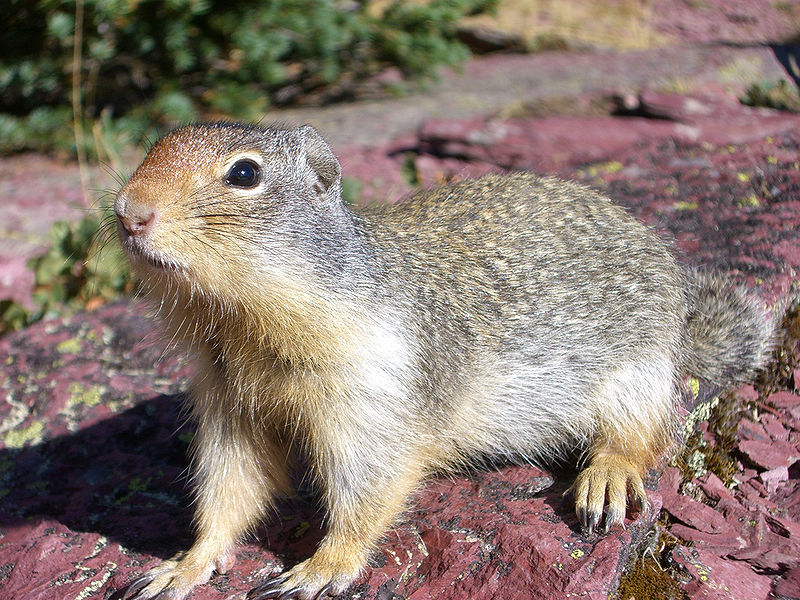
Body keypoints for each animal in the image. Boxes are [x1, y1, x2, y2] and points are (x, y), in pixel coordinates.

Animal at [111, 122, 776, 600]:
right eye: (154, 147)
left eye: (244, 172)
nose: (127, 210)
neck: (241, 323)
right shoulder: (228, 402)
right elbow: (231, 487)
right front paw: (182, 566)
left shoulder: (373, 395)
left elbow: (367, 489)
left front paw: (321, 568)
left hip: (635, 376)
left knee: (644, 434)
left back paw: (607, 477)